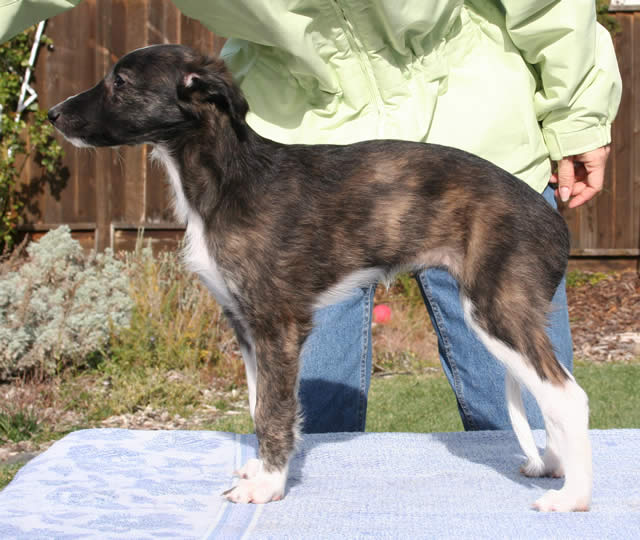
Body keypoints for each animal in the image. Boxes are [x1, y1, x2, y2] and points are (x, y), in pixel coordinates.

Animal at [48, 44, 591, 512]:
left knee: (568, 397)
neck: (228, 178)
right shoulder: (244, 323)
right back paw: (556, 468)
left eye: (120, 82)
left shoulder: (278, 323)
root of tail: (555, 221)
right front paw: (262, 471)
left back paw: (573, 497)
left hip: (495, 309)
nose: (53, 114)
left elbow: (273, 411)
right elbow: (258, 405)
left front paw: (267, 486)